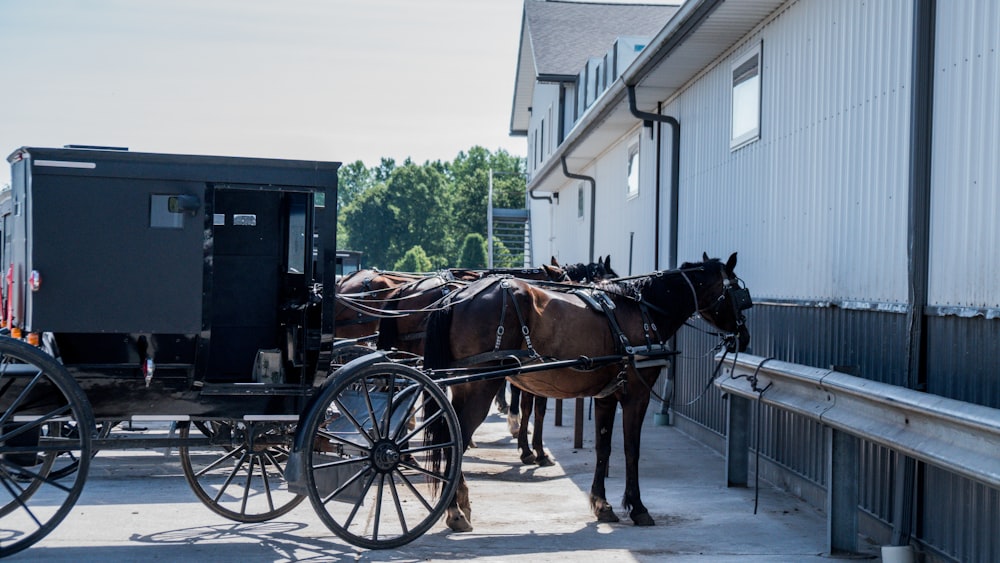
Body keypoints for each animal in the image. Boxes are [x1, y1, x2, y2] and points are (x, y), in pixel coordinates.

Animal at [422, 256, 752, 532]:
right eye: (739, 294)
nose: (744, 337)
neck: (643, 311)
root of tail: (457, 295)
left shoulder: (607, 396)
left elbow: (603, 448)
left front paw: (602, 504)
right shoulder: (636, 396)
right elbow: (631, 449)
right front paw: (637, 507)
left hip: (464, 385)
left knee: (452, 437)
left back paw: (459, 504)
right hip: (481, 385)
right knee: (457, 439)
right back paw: (455, 511)